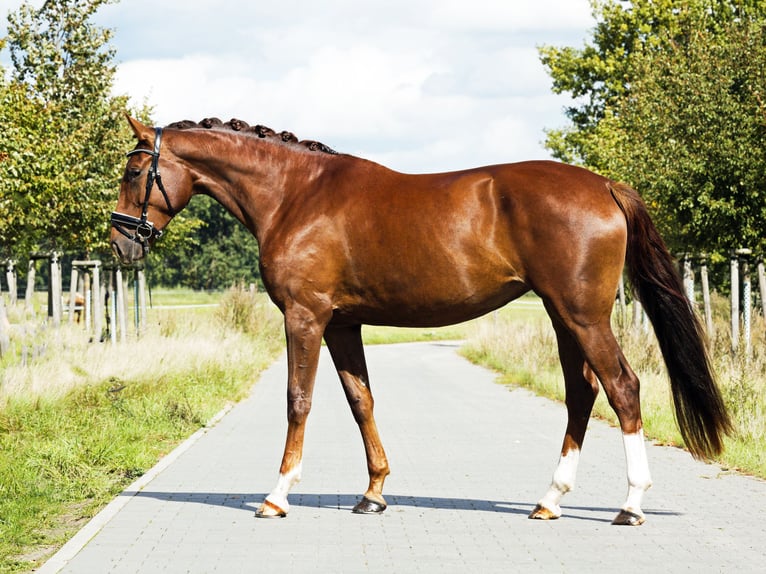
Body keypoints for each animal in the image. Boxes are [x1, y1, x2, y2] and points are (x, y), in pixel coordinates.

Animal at [111, 116, 730, 526]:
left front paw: (277, 495)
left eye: (136, 170)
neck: (295, 195)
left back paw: (630, 504)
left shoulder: (306, 317)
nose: (121, 243)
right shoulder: (342, 324)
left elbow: (298, 400)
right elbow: (360, 400)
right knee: (583, 393)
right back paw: (549, 500)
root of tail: (603, 184)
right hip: (563, 317)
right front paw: (373, 494)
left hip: (584, 316)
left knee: (623, 388)